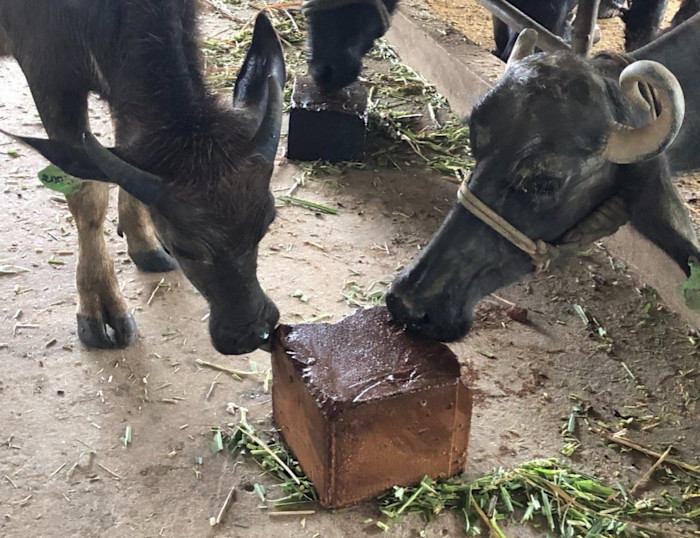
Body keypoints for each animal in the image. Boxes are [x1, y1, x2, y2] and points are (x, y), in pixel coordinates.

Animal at [0, 5, 285, 355]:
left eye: (267, 222)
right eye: (184, 246)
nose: (251, 334)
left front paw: (144, 243)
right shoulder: (49, 76)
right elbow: (88, 196)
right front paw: (101, 306)